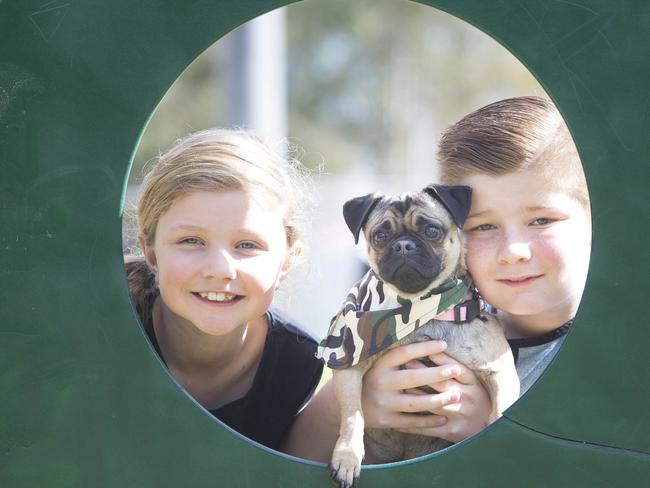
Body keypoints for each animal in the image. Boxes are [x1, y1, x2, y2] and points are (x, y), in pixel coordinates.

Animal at [316, 184, 520, 488]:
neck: (421, 310)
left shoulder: (500, 372)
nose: (403, 245)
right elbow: (353, 415)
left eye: (432, 231)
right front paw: (347, 456)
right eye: (380, 236)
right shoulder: (347, 365)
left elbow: (499, 412)